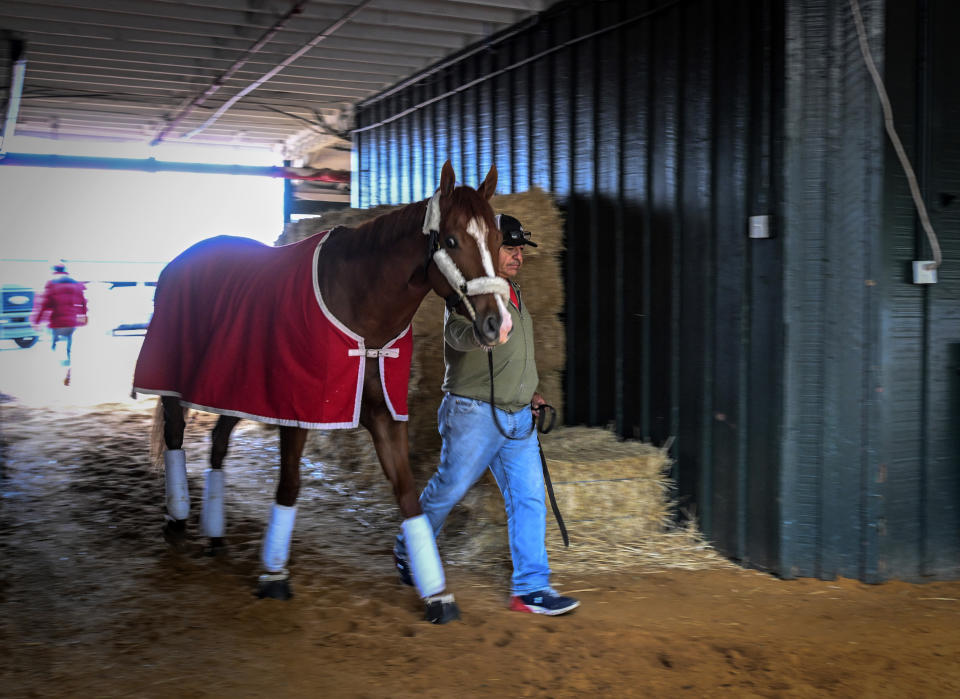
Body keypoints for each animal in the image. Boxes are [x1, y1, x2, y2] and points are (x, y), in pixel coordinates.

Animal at [136, 163, 512, 624]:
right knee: (175, 437)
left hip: (233, 389)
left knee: (218, 443)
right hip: (176, 385)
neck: (359, 306)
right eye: (454, 240)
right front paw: (273, 574)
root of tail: (179, 263)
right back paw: (176, 520)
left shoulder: (385, 415)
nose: (498, 324)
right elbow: (289, 486)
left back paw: (214, 533)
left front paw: (436, 593)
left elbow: (408, 494)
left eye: (496, 239)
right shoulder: (297, 412)